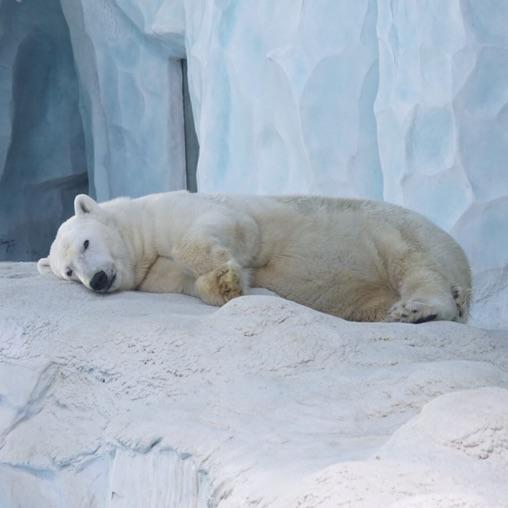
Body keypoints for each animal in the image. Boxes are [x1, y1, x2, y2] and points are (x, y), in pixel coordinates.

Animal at [36, 192, 472, 324]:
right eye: (69, 272)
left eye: (86, 243)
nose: (97, 281)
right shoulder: (157, 274)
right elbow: (190, 283)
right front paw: (230, 285)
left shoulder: (172, 210)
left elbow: (230, 228)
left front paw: (228, 273)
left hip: (394, 230)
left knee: (413, 262)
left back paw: (417, 308)